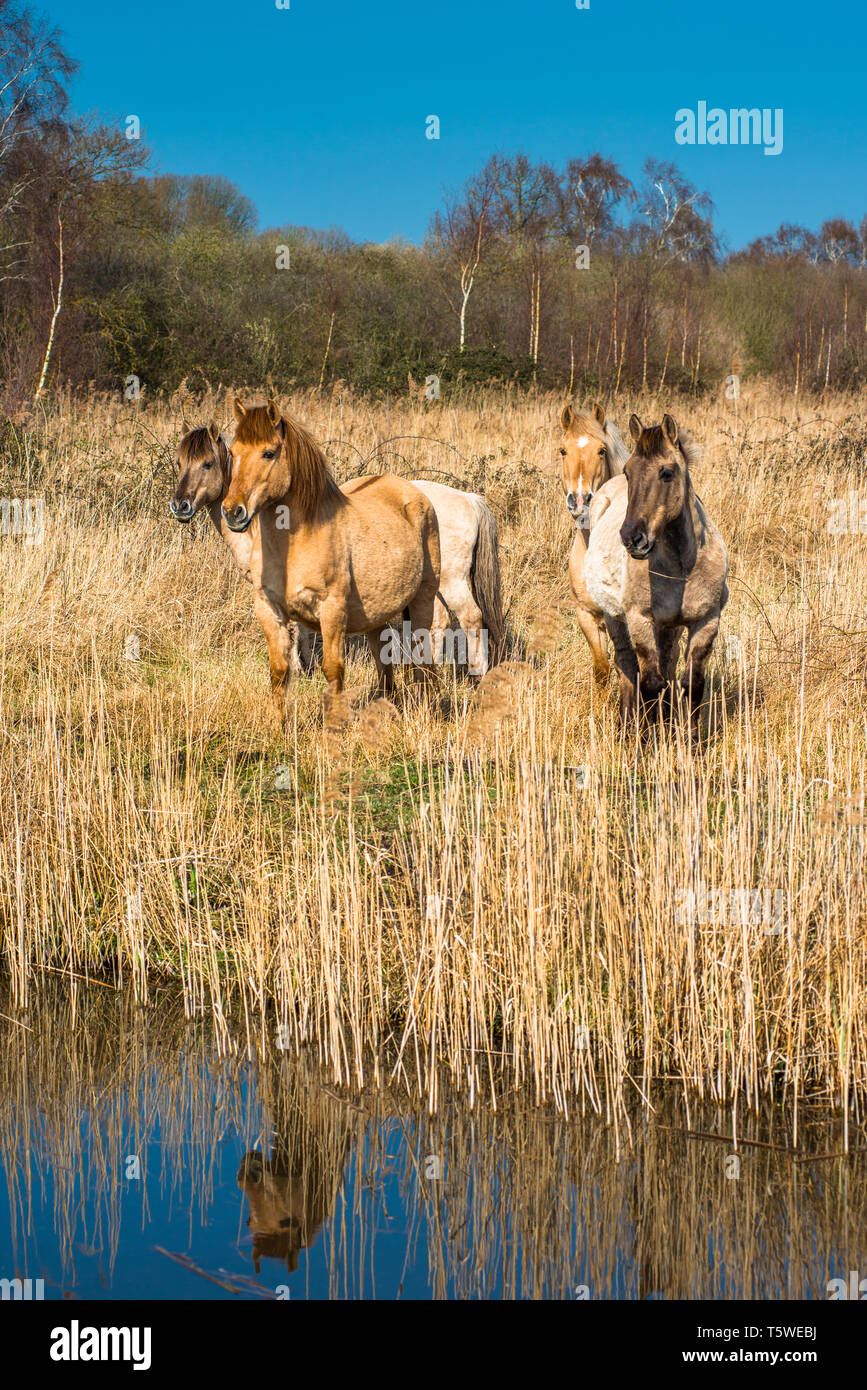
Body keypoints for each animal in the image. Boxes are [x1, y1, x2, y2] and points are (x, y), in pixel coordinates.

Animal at [222, 400, 439, 706]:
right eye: (232, 452)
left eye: (269, 453)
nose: (232, 511)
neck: (297, 543)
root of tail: (414, 493)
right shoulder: (269, 611)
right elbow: (279, 673)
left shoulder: (332, 611)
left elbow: (333, 671)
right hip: (377, 613)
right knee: (383, 657)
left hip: (423, 600)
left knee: (423, 656)